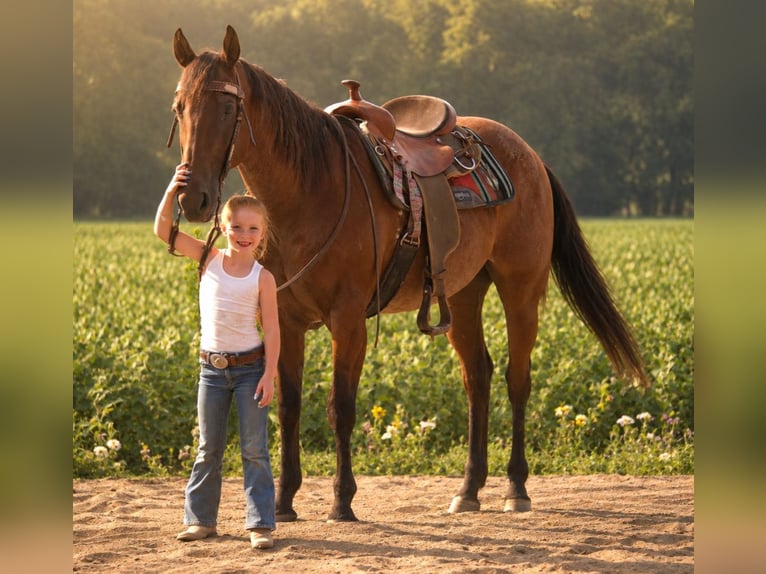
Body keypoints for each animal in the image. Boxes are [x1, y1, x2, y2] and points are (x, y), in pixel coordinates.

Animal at [166, 25, 647, 522]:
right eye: (179, 108)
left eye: (227, 108)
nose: (193, 198)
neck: (311, 191)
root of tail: (530, 155)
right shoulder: (285, 318)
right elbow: (288, 406)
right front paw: (283, 502)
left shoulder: (349, 320)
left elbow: (341, 407)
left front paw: (342, 500)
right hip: (462, 295)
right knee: (478, 377)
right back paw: (469, 489)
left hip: (521, 288)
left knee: (518, 379)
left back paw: (516, 487)